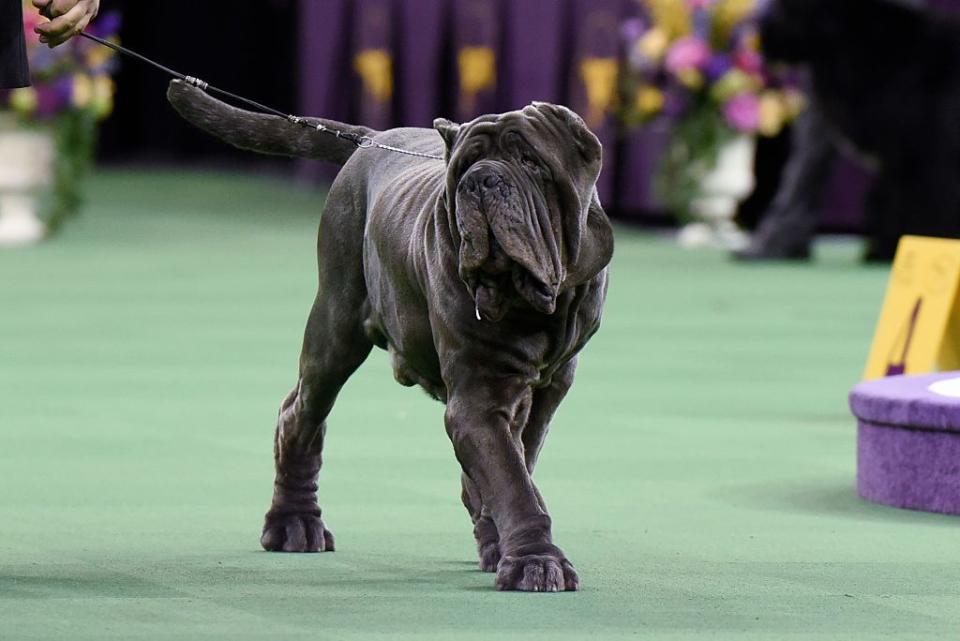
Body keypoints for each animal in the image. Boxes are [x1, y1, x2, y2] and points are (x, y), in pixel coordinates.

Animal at [168, 80, 612, 592]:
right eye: (463, 167)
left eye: (530, 161)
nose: (480, 180)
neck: (530, 305)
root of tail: (371, 138)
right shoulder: (477, 398)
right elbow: (512, 480)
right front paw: (536, 561)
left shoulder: (548, 388)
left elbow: (517, 461)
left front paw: (499, 540)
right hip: (335, 328)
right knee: (300, 415)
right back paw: (294, 522)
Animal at [740, 0, 960, 262]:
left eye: (786, 9)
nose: (759, 35)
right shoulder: (898, 160)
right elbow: (887, 202)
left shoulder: (922, 156)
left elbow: (915, 204)